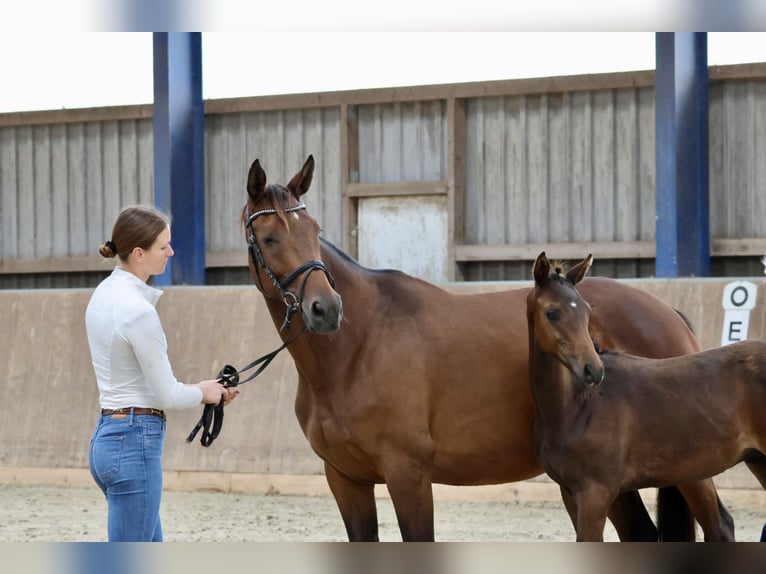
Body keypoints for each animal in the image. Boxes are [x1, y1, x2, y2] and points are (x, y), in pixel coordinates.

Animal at [243, 155, 736, 544]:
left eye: (314, 230)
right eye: (269, 238)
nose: (325, 309)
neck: (358, 346)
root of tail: (671, 314)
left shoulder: (408, 476)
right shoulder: (346, 480)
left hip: (687, 470)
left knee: (719, 526)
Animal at [532, 252, 764, 544]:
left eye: (587, 311)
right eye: (551, 312)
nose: (592, 369)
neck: (577, 406)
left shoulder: (596, 493)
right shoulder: (570, 492)